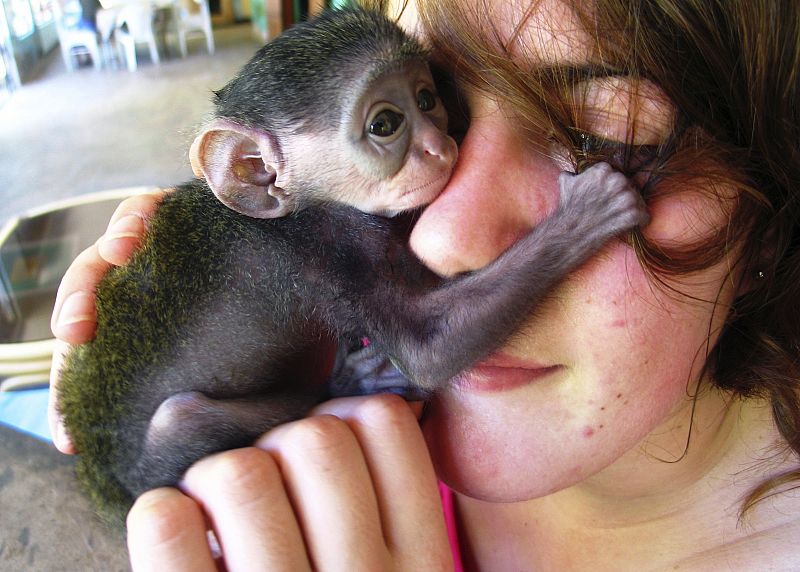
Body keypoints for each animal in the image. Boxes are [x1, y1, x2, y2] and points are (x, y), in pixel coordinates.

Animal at [57, 10, 648, 528]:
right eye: (385, 124)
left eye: (427, 100)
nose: (441, 147)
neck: (299, 208)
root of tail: (98, 475)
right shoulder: (327, 250)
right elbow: (426, 349)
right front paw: (588, 213)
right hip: (154, 464)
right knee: (182, 418)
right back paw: (346, 383)